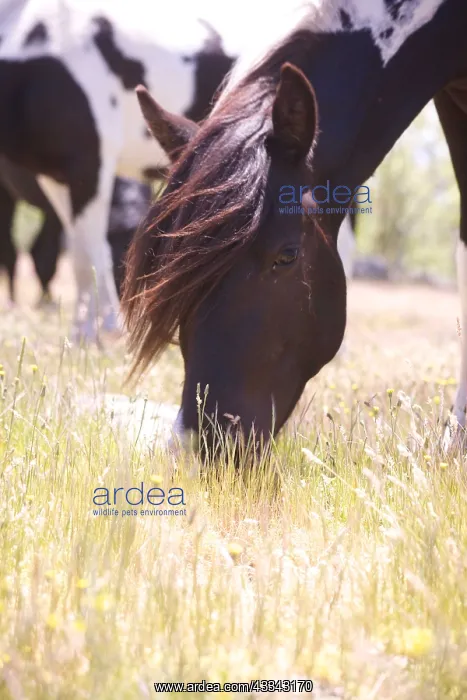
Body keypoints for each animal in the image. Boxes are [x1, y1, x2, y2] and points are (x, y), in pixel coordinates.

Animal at [0, 0, 235, 338]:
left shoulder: (90, 160)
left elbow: (89, 252)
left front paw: (99, 332)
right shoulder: (55, 175)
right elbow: (81, 250)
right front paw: (89, 332)